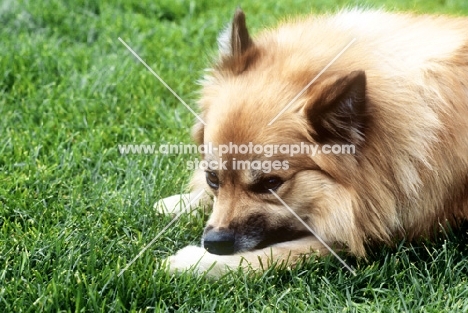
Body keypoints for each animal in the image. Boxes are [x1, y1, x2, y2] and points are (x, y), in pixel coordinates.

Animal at [156, 7, 468, 276]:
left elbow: (275, 254)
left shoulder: (360, 231)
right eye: (213, 178)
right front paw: (179, 203)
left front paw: (195, 262)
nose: (214, 242)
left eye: (270, 184)